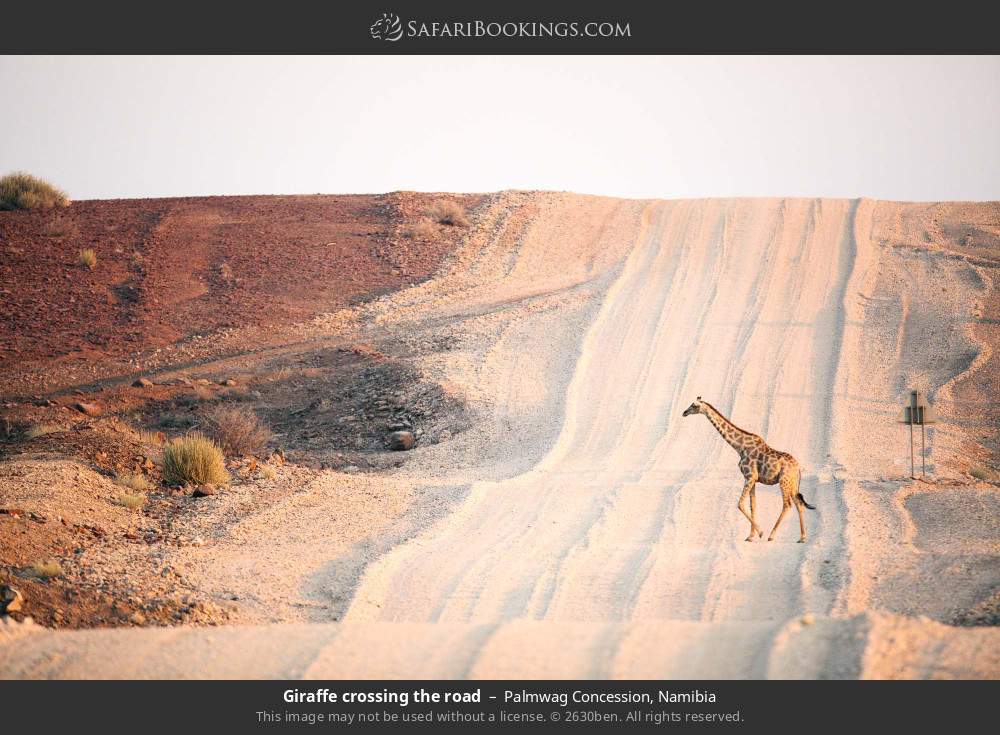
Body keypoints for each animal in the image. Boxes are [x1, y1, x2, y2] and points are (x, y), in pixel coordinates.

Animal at [684, 396, 816, 540]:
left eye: (694, 405)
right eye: (691, 404)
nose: (684, 412)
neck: (740, 447)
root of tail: (798, 467)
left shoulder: (750, 476)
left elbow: (740, 504)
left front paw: (760, 532)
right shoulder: (753, 479)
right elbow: (753, 505)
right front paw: (751, 536)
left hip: (783, 481)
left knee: (787, 504)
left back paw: (772, 535)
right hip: (792, 483)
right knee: (799, 503)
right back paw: (802, 537)